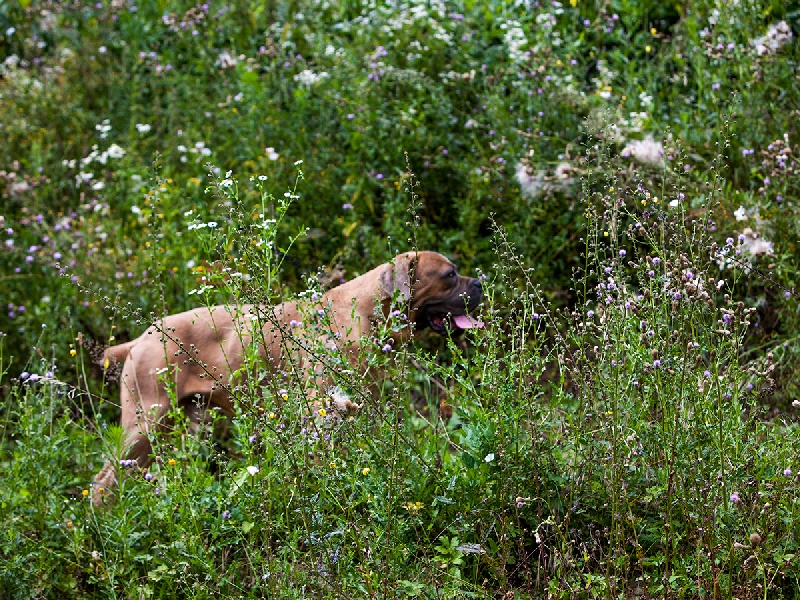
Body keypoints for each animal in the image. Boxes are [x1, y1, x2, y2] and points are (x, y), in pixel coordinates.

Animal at [94, 251, 482, 504]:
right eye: (449, 275)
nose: (479, 282)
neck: (367, 309)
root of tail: (138, 340)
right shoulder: (321, 409)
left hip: (176, 428)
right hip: (144, 424)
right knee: (102, 482)